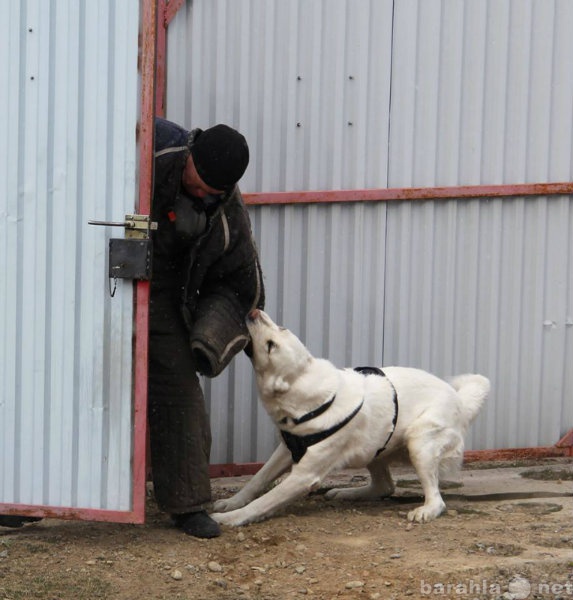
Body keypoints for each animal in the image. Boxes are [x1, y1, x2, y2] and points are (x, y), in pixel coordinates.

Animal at [210, 310, 488, 524]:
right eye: (281, 327)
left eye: (271, 346)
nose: (253, 311)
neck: (313, 395)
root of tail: (458, 399)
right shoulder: (286, 451)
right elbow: (257, 481)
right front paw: (230, 503)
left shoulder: (305, 474)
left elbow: (264, 501)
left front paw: (229, 519)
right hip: (375, 446)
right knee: (385, 486)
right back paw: (347, 493)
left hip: (419, 443)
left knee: (436, 498)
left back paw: (426, 510)